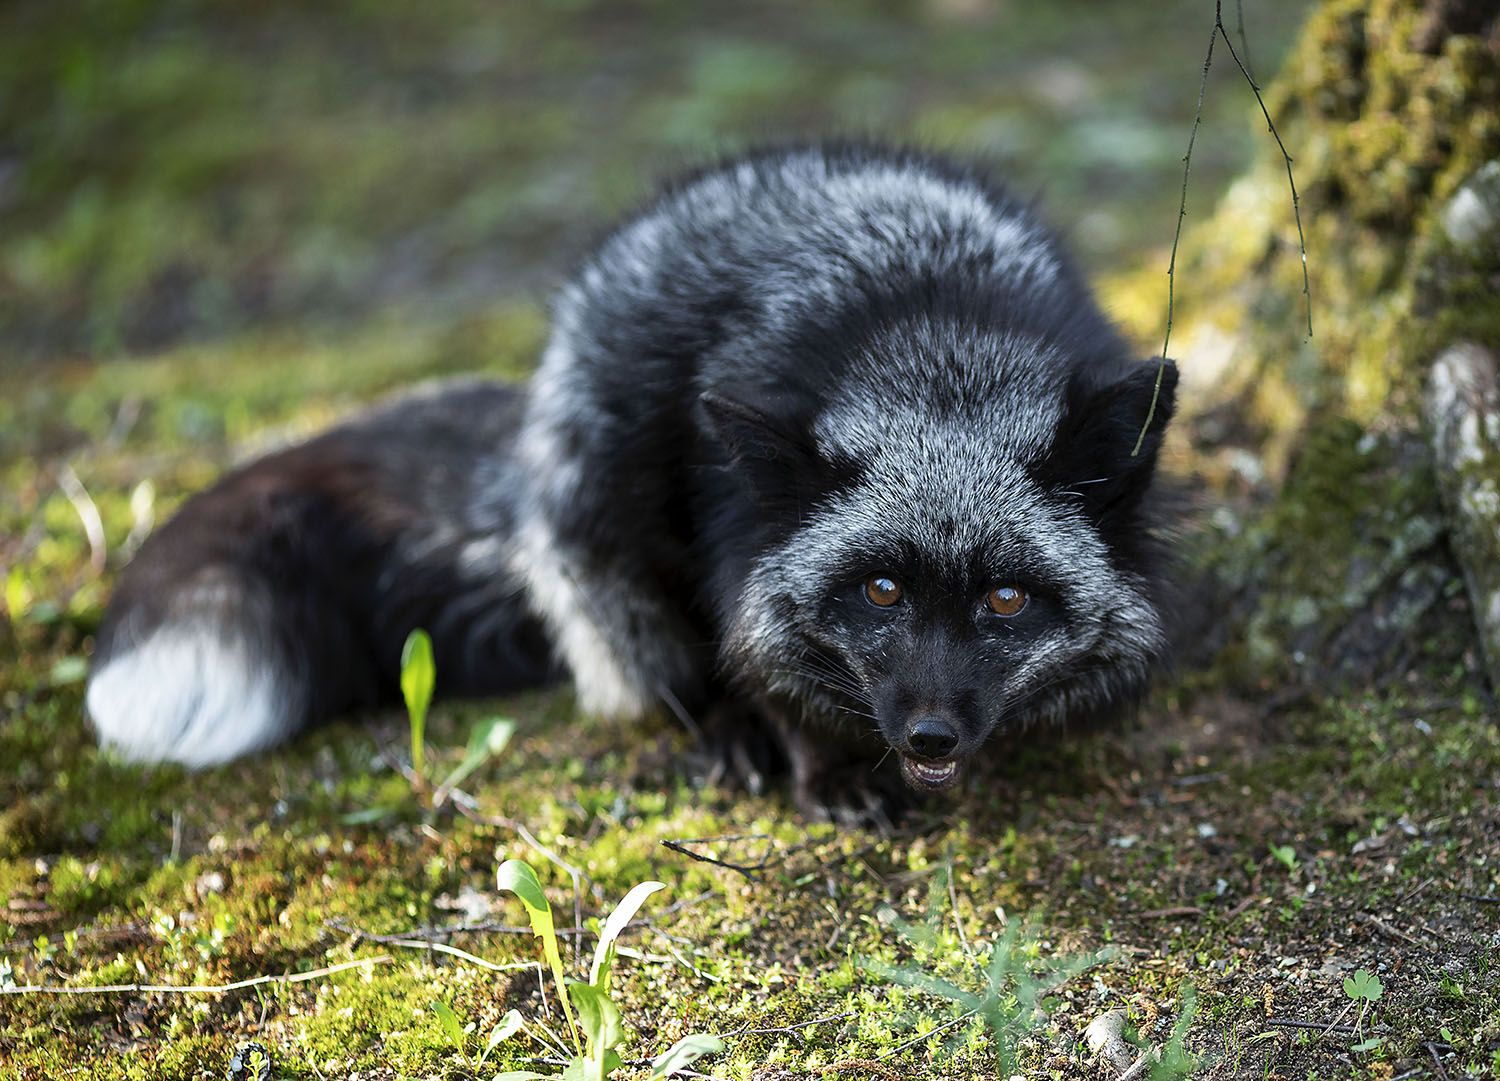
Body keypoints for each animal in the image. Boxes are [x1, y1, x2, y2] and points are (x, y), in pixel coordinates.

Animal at [87, 140, 1176, 809]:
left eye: (1006, 599)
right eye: (879, 589)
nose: (933, 737)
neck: (928, 324)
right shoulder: (733, 542)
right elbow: (762, 656)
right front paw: (818, 762)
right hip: (604, 521)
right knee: (665, 667)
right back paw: (725, 730)